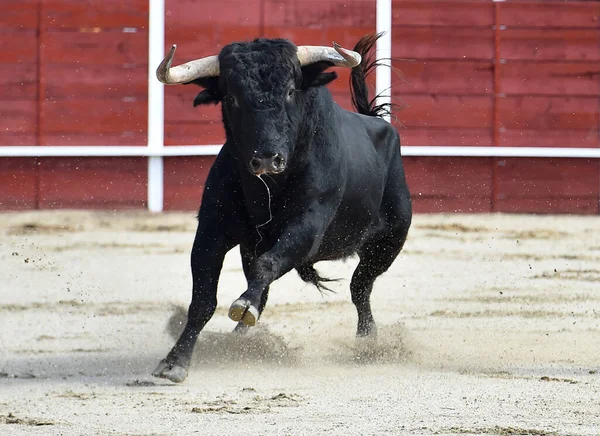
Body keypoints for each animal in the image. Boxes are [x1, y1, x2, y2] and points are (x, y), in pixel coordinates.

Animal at [152, 33, 410, 382]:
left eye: (289, 91)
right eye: (232, 98)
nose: (266, 159)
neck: (269, 190)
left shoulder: (308, 226)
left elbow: (267, 267)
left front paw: (243, 307)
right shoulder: (211, 231)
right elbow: (203, 299)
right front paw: (175, 360)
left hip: (389, 241)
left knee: (360, 288)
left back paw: (367, 343)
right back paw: (241, 341)